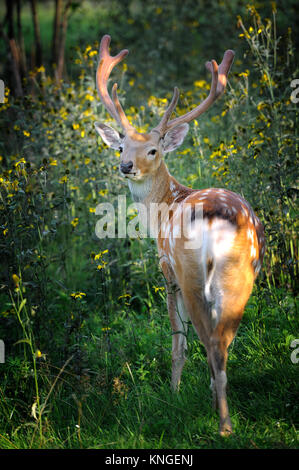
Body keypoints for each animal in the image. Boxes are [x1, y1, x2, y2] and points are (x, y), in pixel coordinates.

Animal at [95, 35, 266, 436]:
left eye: (153, 149)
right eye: (121, 146)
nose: (125, 165)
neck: (164, 208)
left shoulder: (166, 269)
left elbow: (177, 338)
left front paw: (172, 392)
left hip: (191, 272)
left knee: (210, 340)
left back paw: (223, 425)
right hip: (242, 273)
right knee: (225, 339)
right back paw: (221, 408)